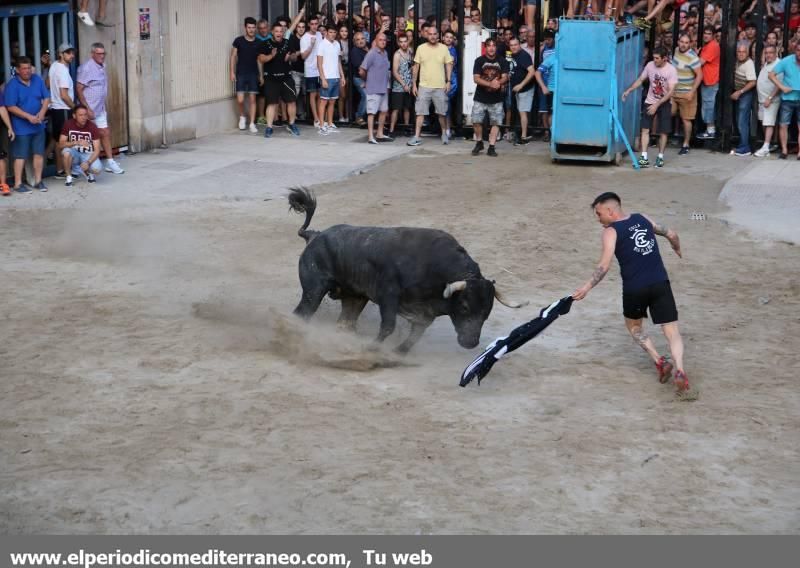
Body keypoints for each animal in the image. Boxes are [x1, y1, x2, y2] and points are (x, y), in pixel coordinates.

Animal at [288, 189, 524, 352]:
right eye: (465, 306)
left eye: (487, 311)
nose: (470, 343)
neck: (436, 270)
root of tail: (314, 235)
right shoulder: (389, 296)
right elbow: (388, 326)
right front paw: (373, 348)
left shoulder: (424, 314)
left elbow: (414, 337)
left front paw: (397, 352)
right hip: (313, 291)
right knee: (302, 313)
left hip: (354, 297)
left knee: (345, 322)